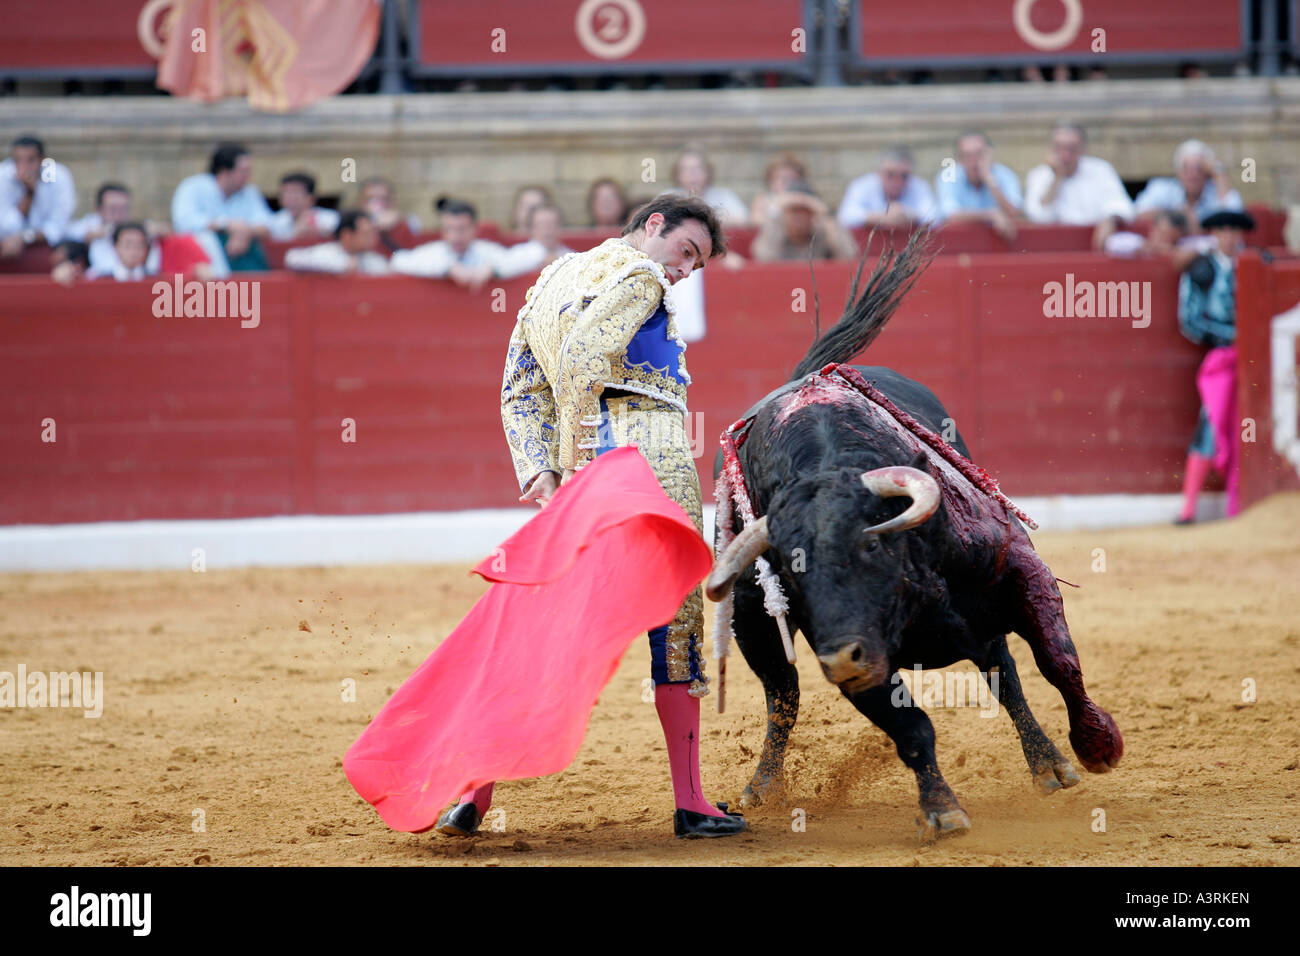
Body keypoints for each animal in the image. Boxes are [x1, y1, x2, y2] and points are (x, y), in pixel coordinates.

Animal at [707, 252, 1123, 837]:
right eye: (789, 572)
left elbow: (1057, 662)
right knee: (782, 698)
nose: (841, 658)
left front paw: (1097, 744)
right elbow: (911, 728)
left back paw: (1050, 765)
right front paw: (941, 809)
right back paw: (762, 787)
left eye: (869, 547)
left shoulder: (1020, 571)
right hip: (755, 629)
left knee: (1006, 673)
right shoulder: (859, 657)